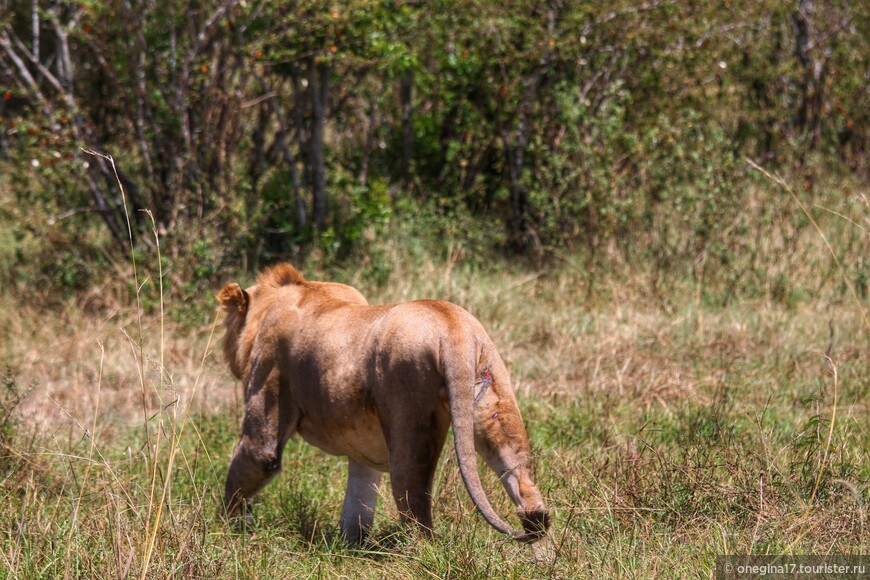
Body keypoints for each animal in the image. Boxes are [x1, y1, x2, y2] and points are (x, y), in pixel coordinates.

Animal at [216, 262, 552, 544]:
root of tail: (452, 326)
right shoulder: (362, 448)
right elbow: (359, 501)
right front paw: (349, 548)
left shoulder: (268, 385)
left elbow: (251, 465)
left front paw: (229, 527)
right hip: (493, 404)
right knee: (524, 488)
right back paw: (543, 557)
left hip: (407, 413)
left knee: (414, 503)